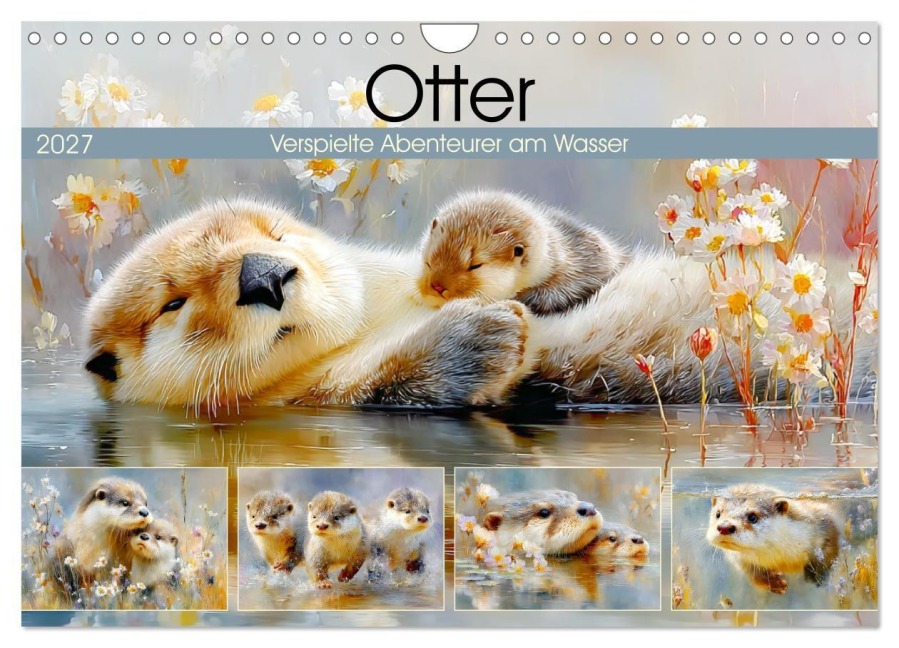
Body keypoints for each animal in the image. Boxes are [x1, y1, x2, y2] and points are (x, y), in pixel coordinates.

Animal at [706, 484, 840, 595]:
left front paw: (815, 575)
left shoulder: (823, 521)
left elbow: (830, 547)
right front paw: (773, 582)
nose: (724, 527)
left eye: (752, 517)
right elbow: (753, 574)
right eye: (718, 514)